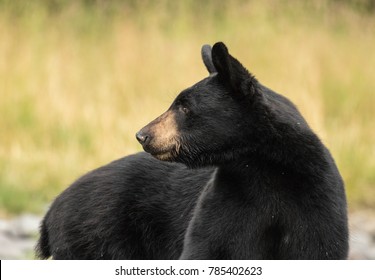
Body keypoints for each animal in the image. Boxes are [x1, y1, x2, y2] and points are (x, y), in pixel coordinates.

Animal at [36, 42, 350, 260]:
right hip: (98, 238)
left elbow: (319, 247)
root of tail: (52, 211)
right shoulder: (229, 197)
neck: (265, 169)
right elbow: (209, 246)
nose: (143, 134)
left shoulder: (314, 201)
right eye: (177, 102)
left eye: (185, 107)